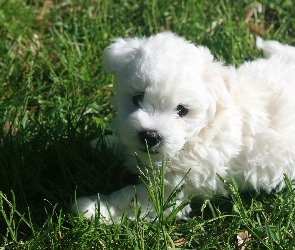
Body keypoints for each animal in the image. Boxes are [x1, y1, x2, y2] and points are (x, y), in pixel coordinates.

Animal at [75, 32, 295, 223]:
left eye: (182, 110)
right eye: (137, 98)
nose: (150, 135)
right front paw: (105, 144)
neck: (199, 133)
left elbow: (128, 199)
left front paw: (92, 208)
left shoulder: (170, 190)